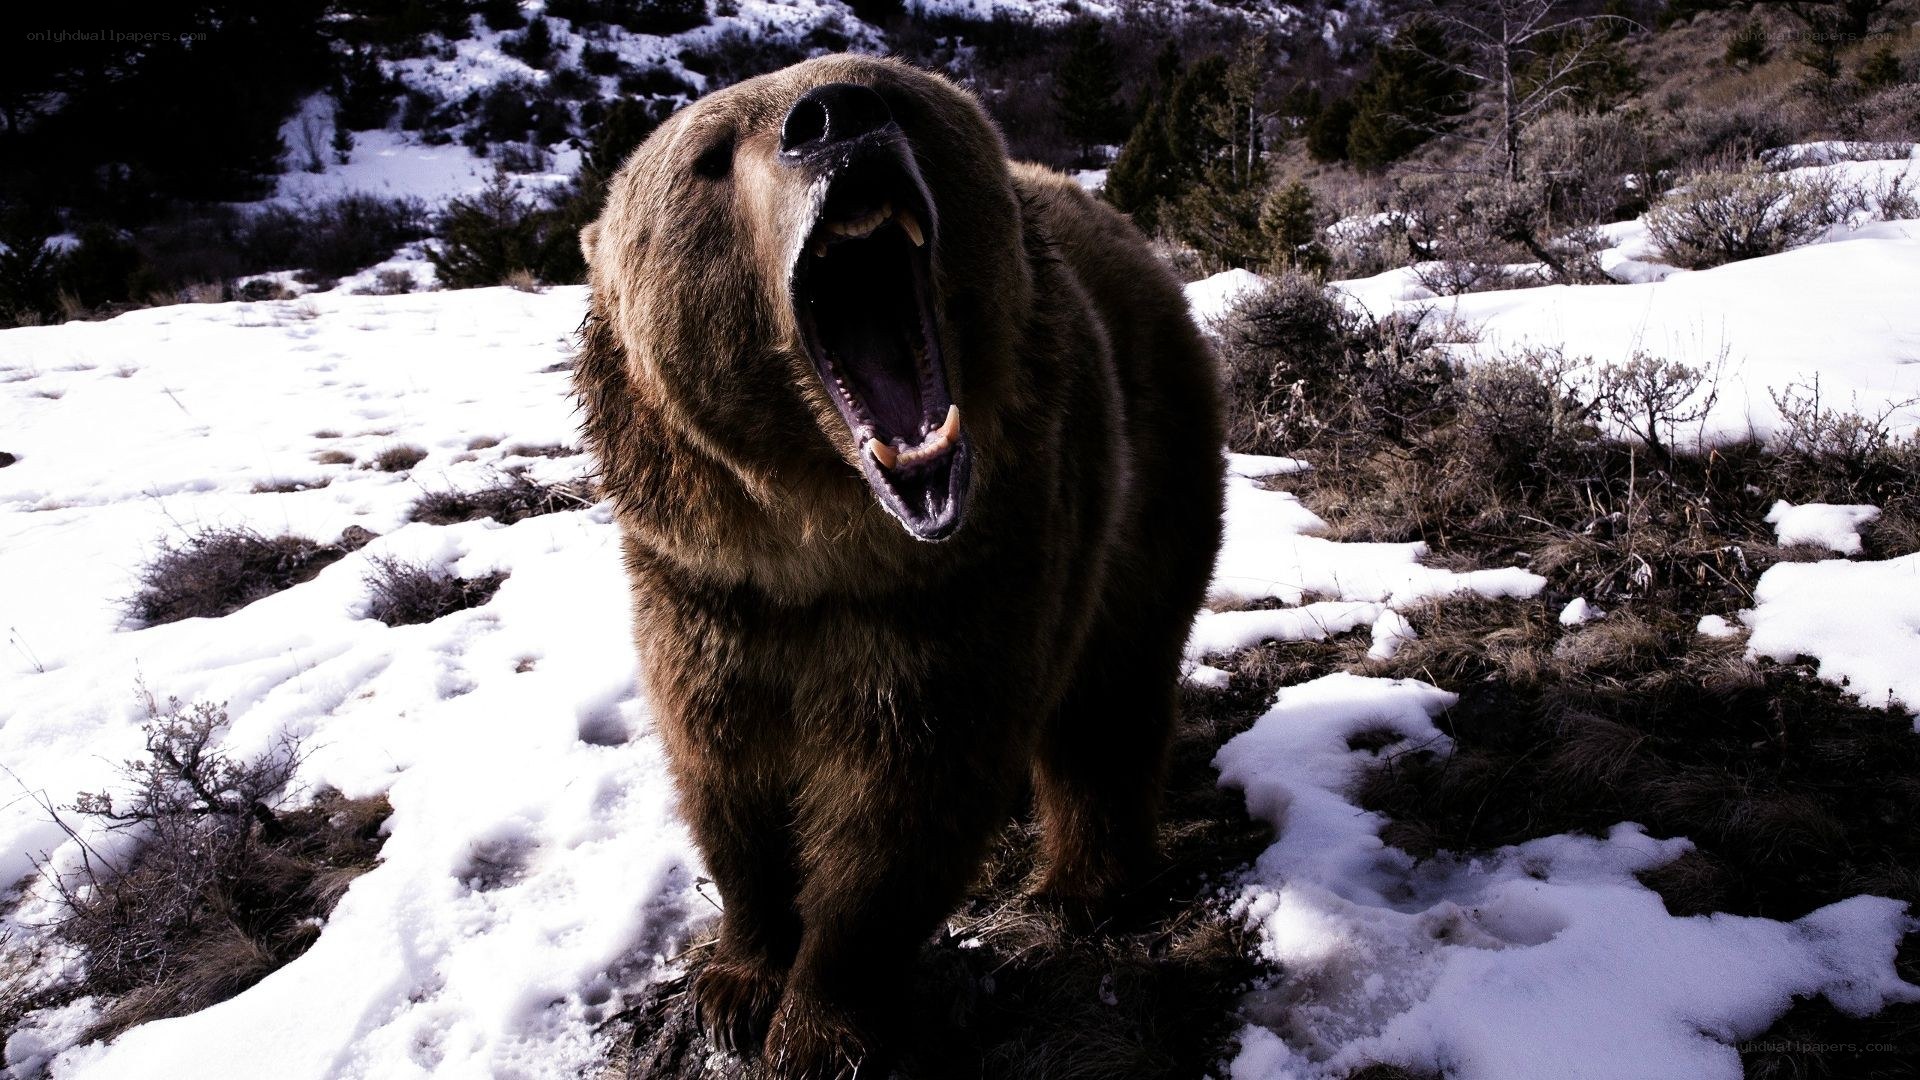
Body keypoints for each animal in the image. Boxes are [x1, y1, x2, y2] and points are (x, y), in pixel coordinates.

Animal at [573, 55, 1225, 1078]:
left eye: (891, 92)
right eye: (708, 157)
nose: (834, 118)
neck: (821, 542)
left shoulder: (965, 579)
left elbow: (904, 800)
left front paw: (818, 1024)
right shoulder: (702, 587)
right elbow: (725, 772)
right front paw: (736, 984)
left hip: (1150, 465)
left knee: (1111, 688)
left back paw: (1082, 886)